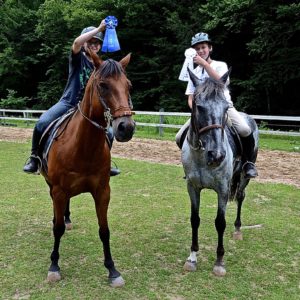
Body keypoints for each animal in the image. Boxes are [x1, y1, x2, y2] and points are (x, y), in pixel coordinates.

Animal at [39, 52, 135, 288]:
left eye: (128, 85)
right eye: (103, 85)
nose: (126, 127)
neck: (82, 146)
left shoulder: (102, 192)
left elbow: (104, 230)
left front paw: (112, 270)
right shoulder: (58, 190)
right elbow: (57, 230)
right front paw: (54, 266)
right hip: (51, 185)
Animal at [182, 69, 258, 276]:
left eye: (225, 108)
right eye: (199, 107)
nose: (217, 155)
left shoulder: (223, 190)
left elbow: (220, 223)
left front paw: (219, 262)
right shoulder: (192, 187)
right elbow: (194, 219)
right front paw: (192, 258)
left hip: (243, 177)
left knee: (240, 196)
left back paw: (238, 230)